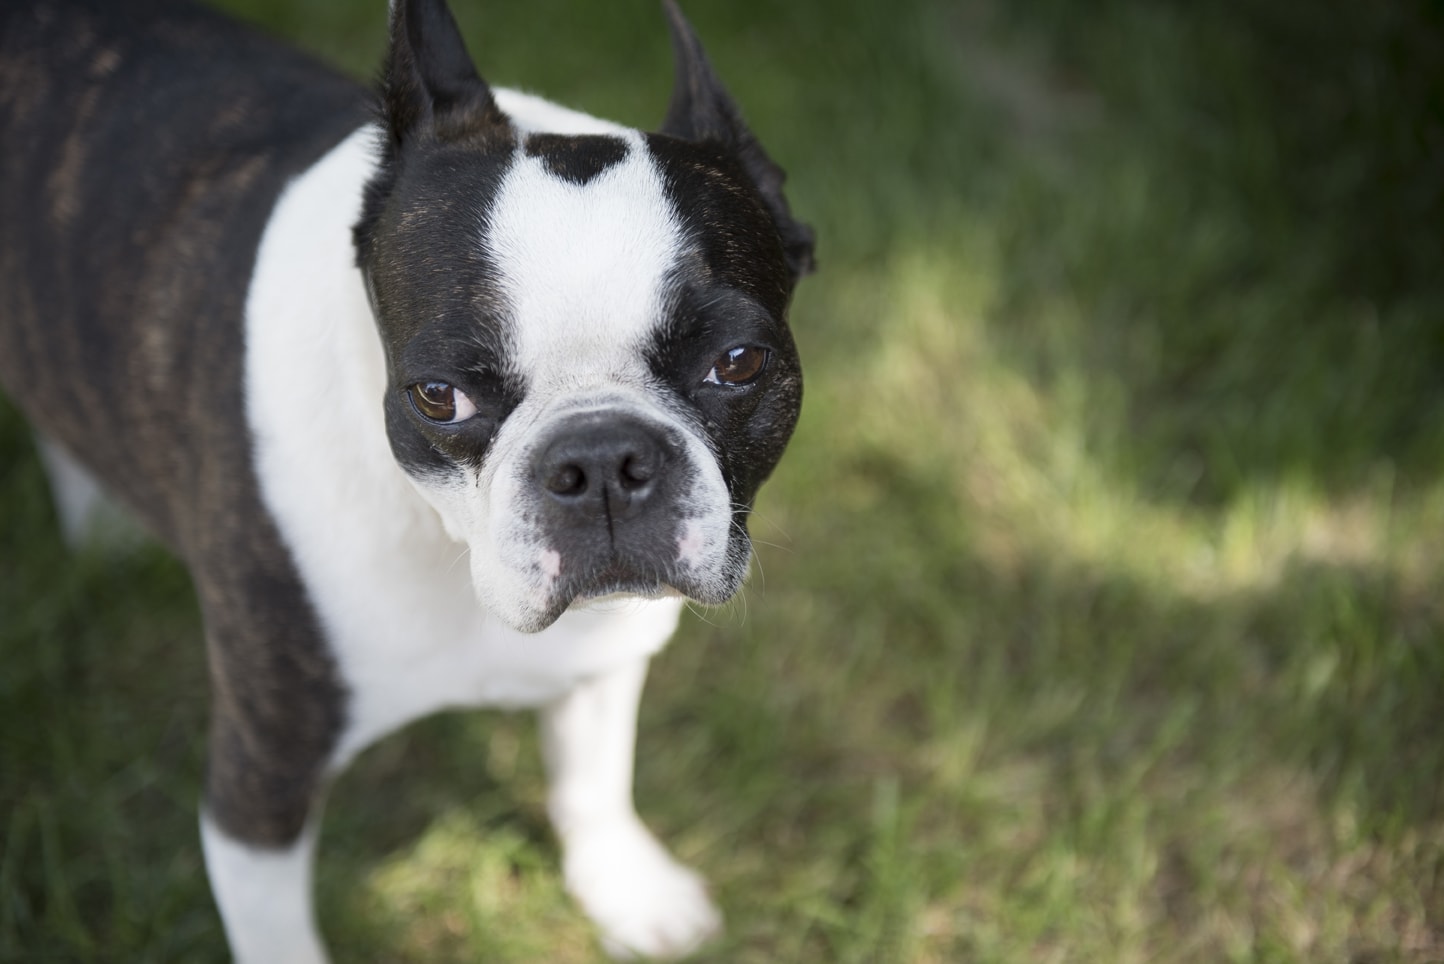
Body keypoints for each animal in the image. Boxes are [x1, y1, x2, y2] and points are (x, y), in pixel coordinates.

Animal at [0, 1, 814, 958]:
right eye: (438, 396)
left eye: (739, 363)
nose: (601, 459)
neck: (447, 547)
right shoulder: (262, 784)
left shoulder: (603, 659)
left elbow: (594, 775)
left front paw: (625, 888)